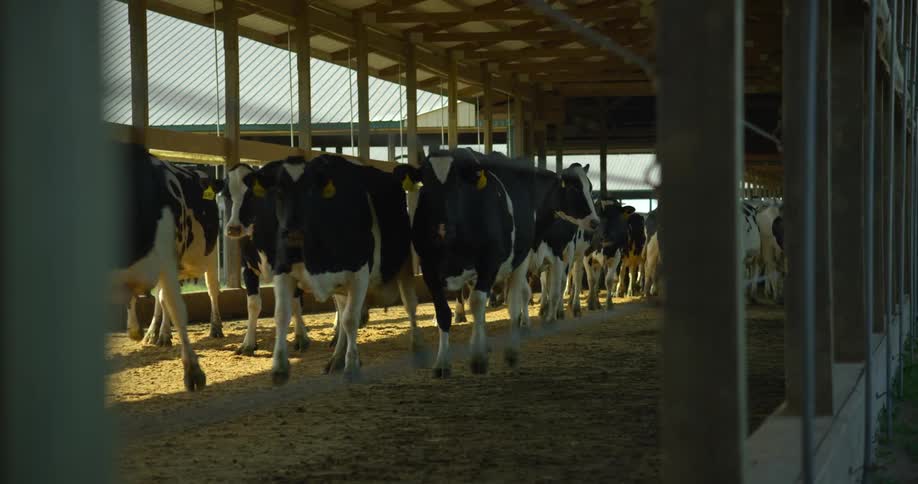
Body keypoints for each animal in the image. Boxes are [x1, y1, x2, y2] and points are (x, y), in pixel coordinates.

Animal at [125, 162, 223, 346]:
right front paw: (141, 331)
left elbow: (165, 299)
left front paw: (163, 335)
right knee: (159, 297)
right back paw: (152, 332)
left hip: (211, 257)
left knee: (212, 290)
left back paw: (216, 328)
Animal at [254, 154, 423, 384]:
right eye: (279, 191)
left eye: (311, 190)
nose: (293, 232)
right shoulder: (282, 271)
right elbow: (281, 315)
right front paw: (279, 368)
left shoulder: (359, 274)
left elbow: (351, 320)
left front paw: (352, 367)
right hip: (341, 287)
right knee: (342, 315)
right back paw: (337, 358)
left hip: (403, 264)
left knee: (409, 304)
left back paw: (416, 344)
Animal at [394, 149, 599, 377]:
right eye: (425, 186)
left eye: (458, 185)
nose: (595, 221)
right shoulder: (429, 268)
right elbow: (444, 313)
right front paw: (442, 363)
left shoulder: (503, 260)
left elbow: (485, 302)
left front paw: (478, 358)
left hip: (536, 258)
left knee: (522, 299)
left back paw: (513, 349)